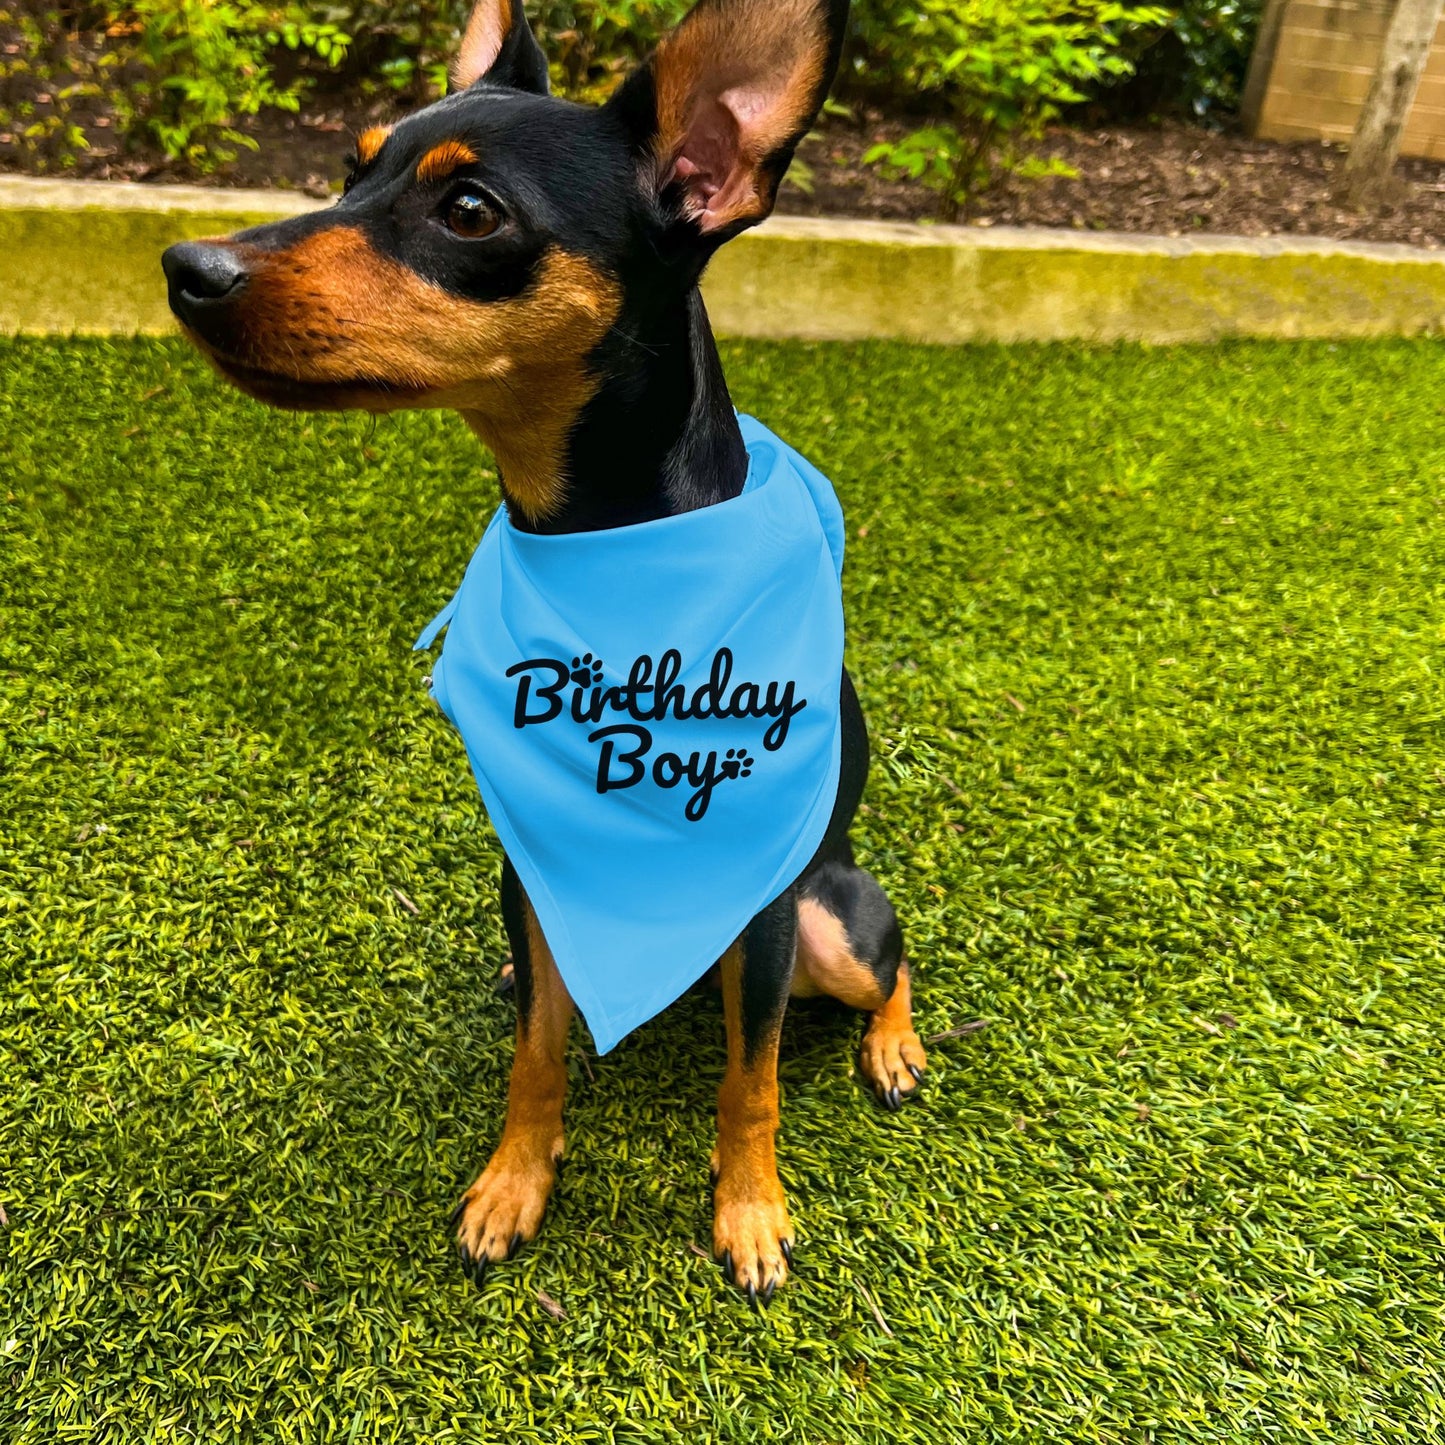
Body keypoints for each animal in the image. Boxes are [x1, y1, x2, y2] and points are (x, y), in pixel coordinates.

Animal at [161, 0, 924, 1300]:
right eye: (349, 171)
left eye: (471, 212)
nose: (186, 268)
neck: (599, 555)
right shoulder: (529, 857)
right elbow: (535, 1055)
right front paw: (514, 1180)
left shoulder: (766, 910)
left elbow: (752, 1079)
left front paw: (750, 1211)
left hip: (833, 918)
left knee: (891, 958)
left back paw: (896, 1046)